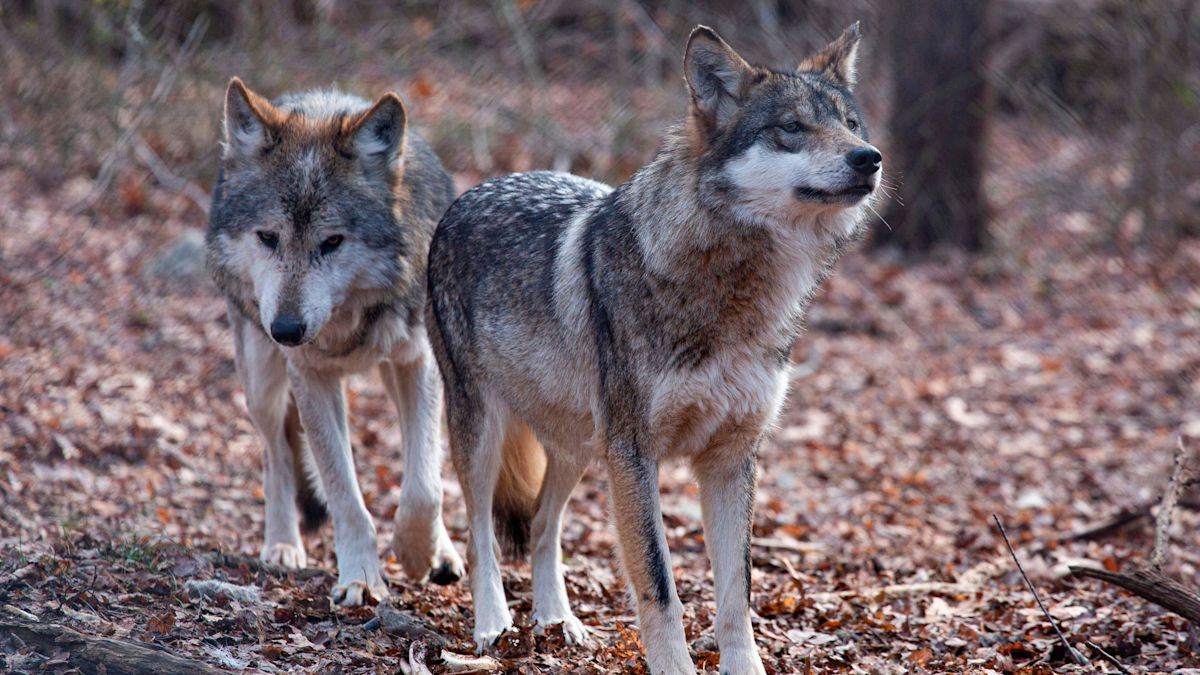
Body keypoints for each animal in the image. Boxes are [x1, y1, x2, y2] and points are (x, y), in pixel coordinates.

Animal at [206, 78, 464, 607]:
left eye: (332, 242)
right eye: (268, 237)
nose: (286, 330)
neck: (346, 322)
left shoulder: (419, 362)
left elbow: (424, 486)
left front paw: (416, 553)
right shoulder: (311, 376)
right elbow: (344, 494)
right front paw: (362, 576)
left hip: (395, 373)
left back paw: (443, 552)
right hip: (262, 382)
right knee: (277, 457)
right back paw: (282, 544)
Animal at [426, 24, 879, 674]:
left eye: (850, 124)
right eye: (792, 127)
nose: (870, 158)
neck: (734, 293)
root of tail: (471, 191)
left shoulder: (731, 458)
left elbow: (737, 594)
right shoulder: (636, 455)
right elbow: (661, 587)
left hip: (580, 447)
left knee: (541, 526)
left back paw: (557, 622)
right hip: (487, 434)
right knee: (480, 535)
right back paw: (494, 627)